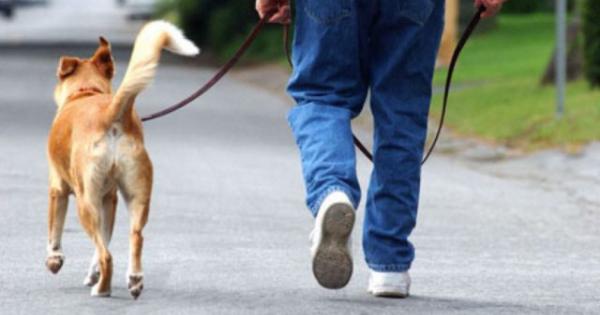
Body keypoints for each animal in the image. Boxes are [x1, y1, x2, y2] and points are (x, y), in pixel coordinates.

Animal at [45, 21, 199, 298]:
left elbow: (55, 230)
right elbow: (104, 241)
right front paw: (92, 273)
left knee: (106, 254)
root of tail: (111, 113)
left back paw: (103, 289)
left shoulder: (58, 189)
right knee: (134, 236)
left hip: (86, 202)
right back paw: (134, 279)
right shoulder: (111, 198)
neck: (86, 92)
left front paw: (54, 259)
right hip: (137, 195)